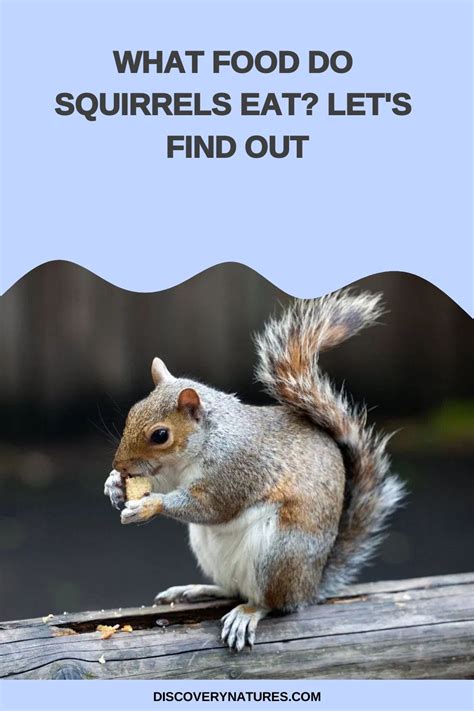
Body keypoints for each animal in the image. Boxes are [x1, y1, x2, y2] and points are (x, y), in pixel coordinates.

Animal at [104, 289, 404, 651]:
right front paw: (114, 486)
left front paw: (148, 504)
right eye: (131, 413)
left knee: (270, 602)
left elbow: (211, 506)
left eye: (160, 435)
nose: (119, 465)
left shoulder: (236, 469)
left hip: (278, 554)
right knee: (233, 587)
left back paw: (248, 612)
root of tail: (309, 587)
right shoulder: (172, 474)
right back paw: (198, 590)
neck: (205, 443)